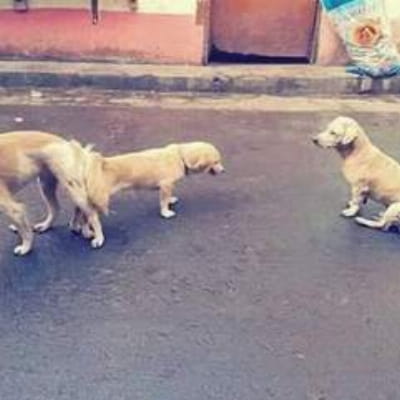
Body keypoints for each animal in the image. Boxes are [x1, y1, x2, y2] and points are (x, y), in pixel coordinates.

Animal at [70, 141, 225, 237]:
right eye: (216, 162)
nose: (224, 171)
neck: (180, 156)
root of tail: (99, 165)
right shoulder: (165, 185)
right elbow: (163, 202)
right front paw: (166, 212)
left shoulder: (169, 186)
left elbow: (168, 197)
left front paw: (171, 200)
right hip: (97, 201)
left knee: (78, 212)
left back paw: (75, 227)